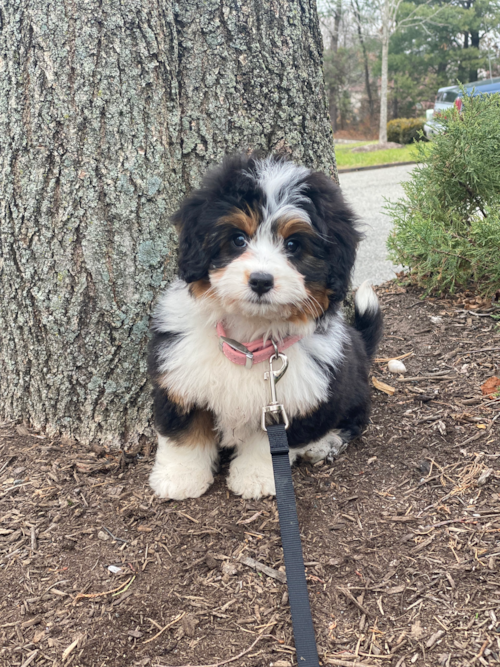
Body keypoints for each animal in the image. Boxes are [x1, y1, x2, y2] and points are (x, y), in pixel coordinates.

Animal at [148, 155, 382, 500]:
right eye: (238, 239)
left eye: (293, 244)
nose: (260, 280)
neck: (248, 341)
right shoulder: (179, 376)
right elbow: (185, 429)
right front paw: (180, 476)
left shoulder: (296, 397)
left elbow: (268, 444)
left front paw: (257, 477)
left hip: (348, 389)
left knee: (353, 421)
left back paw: (324, 443)